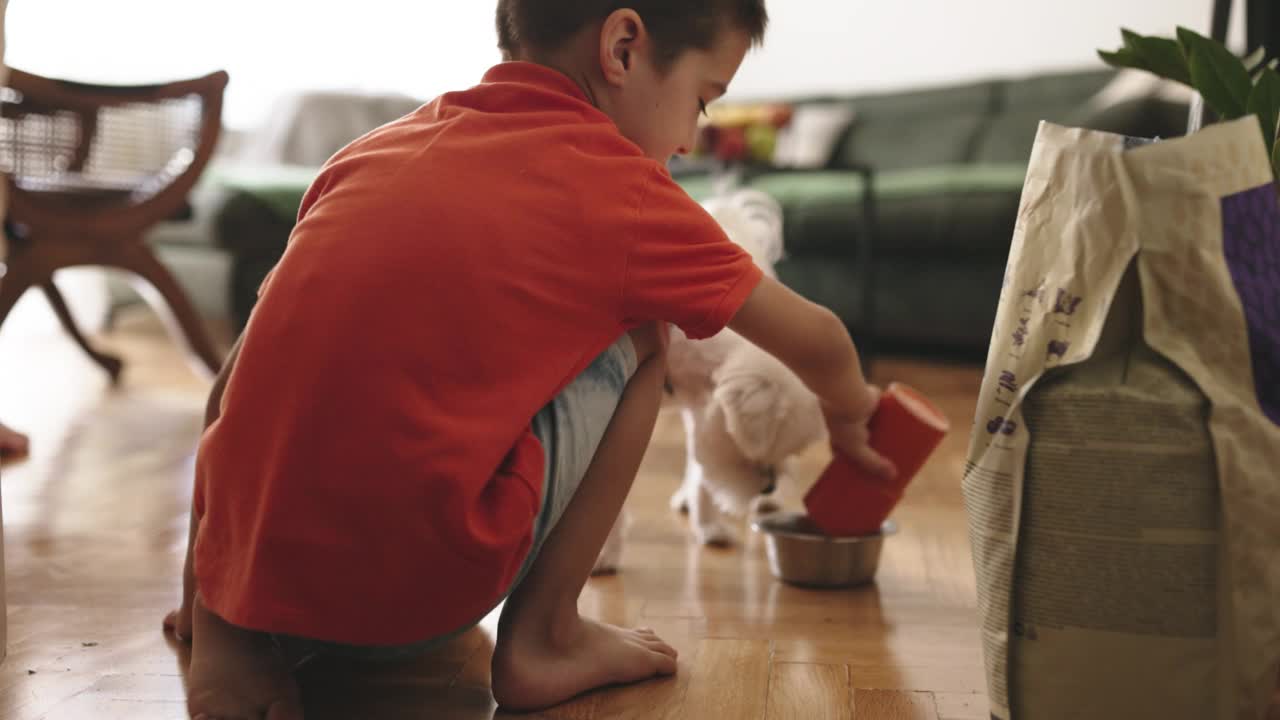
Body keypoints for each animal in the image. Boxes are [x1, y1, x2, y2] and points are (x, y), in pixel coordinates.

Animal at [593, 190, 824, 571]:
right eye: (751, 454)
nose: (768, 487)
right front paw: (604, 556)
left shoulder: (703, 409)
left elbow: (704, 472)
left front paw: (710, 528)